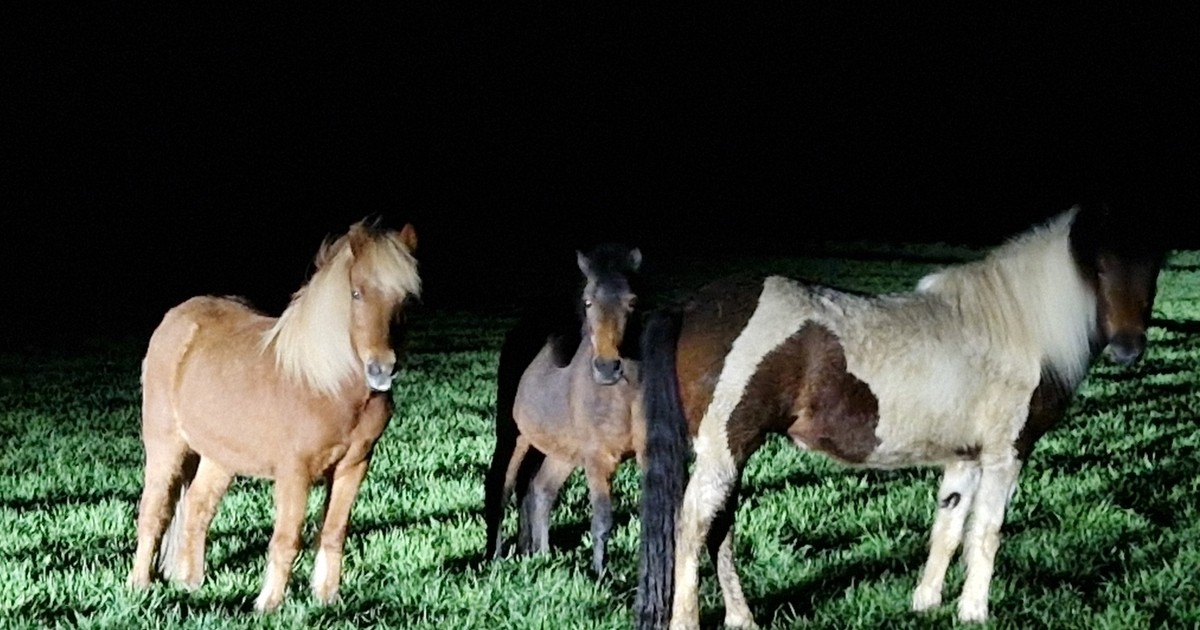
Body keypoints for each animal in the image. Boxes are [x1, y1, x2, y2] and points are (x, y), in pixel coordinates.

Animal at [127, 219, 421, 612]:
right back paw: (140, 585)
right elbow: (286, 537)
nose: (382, 369)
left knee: (198, 508)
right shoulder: (295, 473)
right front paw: (269, 604)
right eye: (356, 293)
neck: (325, 384)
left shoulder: (353, 467)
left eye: (406, 300)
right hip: (166, 447)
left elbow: (333, 532)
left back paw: (191, 582)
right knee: (154, 512)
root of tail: (175, 320)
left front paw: (327, 597)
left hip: (220, 456)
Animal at [484, 243, 644, 574]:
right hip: (515, 437)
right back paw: (495, 557)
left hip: (562, 451)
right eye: (588, 301)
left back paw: (542, 554)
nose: (607, 368)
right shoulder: (598, 461)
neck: (619, 396)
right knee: (503, 488)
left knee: (541, 490)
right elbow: (602, 522)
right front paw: (599, 575)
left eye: (632, 301)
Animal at [634, 203, 1166, 629]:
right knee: (693, 528)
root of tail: (690, 307)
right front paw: (974, 612)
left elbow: (948, 528)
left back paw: (743, 619)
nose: (1128, 349)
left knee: (719, 530)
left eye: (1154, 265)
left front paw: (926, 603)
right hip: (725, 448)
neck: (1018, 329)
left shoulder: (965, 457)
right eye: (1097, 267)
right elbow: (987, 531)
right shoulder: (1005, 455)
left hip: (728, 452)